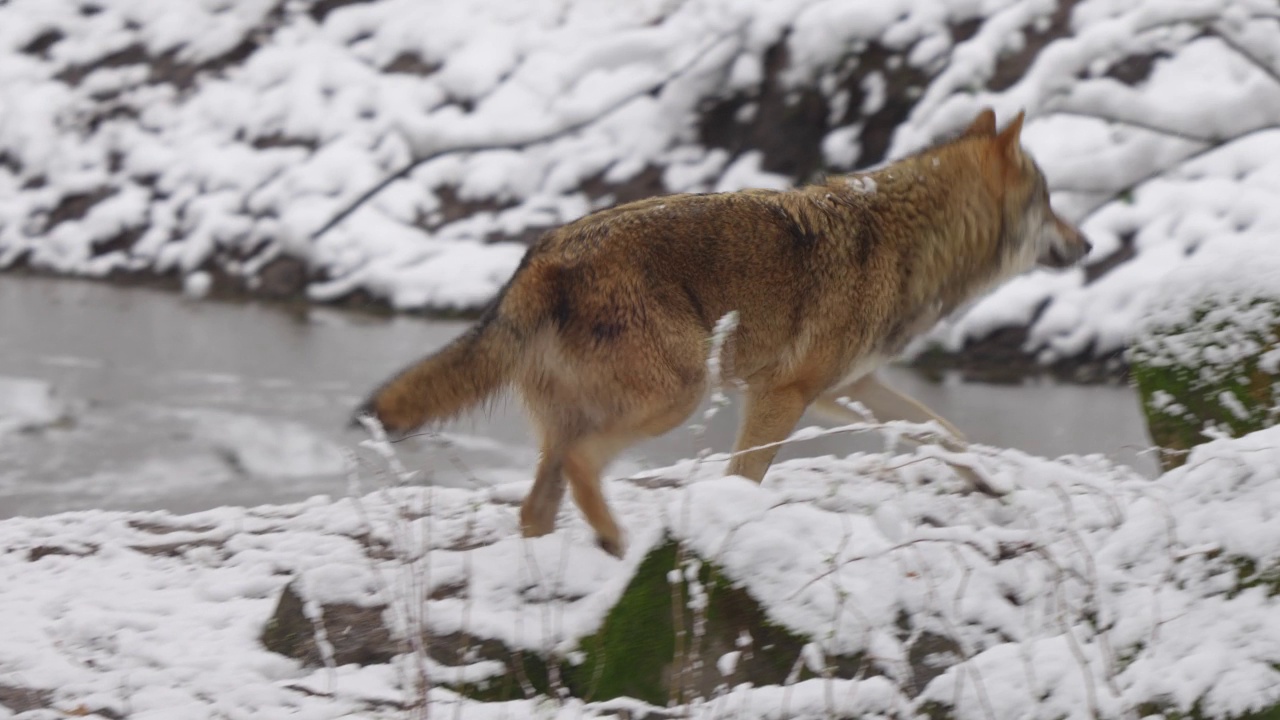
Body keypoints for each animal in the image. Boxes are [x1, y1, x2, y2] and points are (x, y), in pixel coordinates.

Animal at [358, 107, 1090, 556]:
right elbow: (744, 478)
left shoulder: (849, 389)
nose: (1087, 244)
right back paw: (615, 545)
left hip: (595, 414)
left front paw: (987, 484)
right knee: (582, 464)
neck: (908, 240)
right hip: (678, 395)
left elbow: (947, 431)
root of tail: (542, 256)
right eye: (1050, 202)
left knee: (535, 508)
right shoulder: (783, 395)